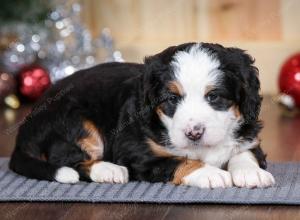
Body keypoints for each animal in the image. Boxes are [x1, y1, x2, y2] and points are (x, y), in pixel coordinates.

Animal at [10, 43, 276, 189]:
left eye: (214, 97)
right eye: (171, 99)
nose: (194, 133)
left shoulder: (249, 135)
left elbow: (244, 152)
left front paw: (251, 173)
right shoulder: (136, 150)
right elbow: (177, 161)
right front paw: (210, 173)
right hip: (74, 120)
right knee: (67, 159)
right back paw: (109, 170)